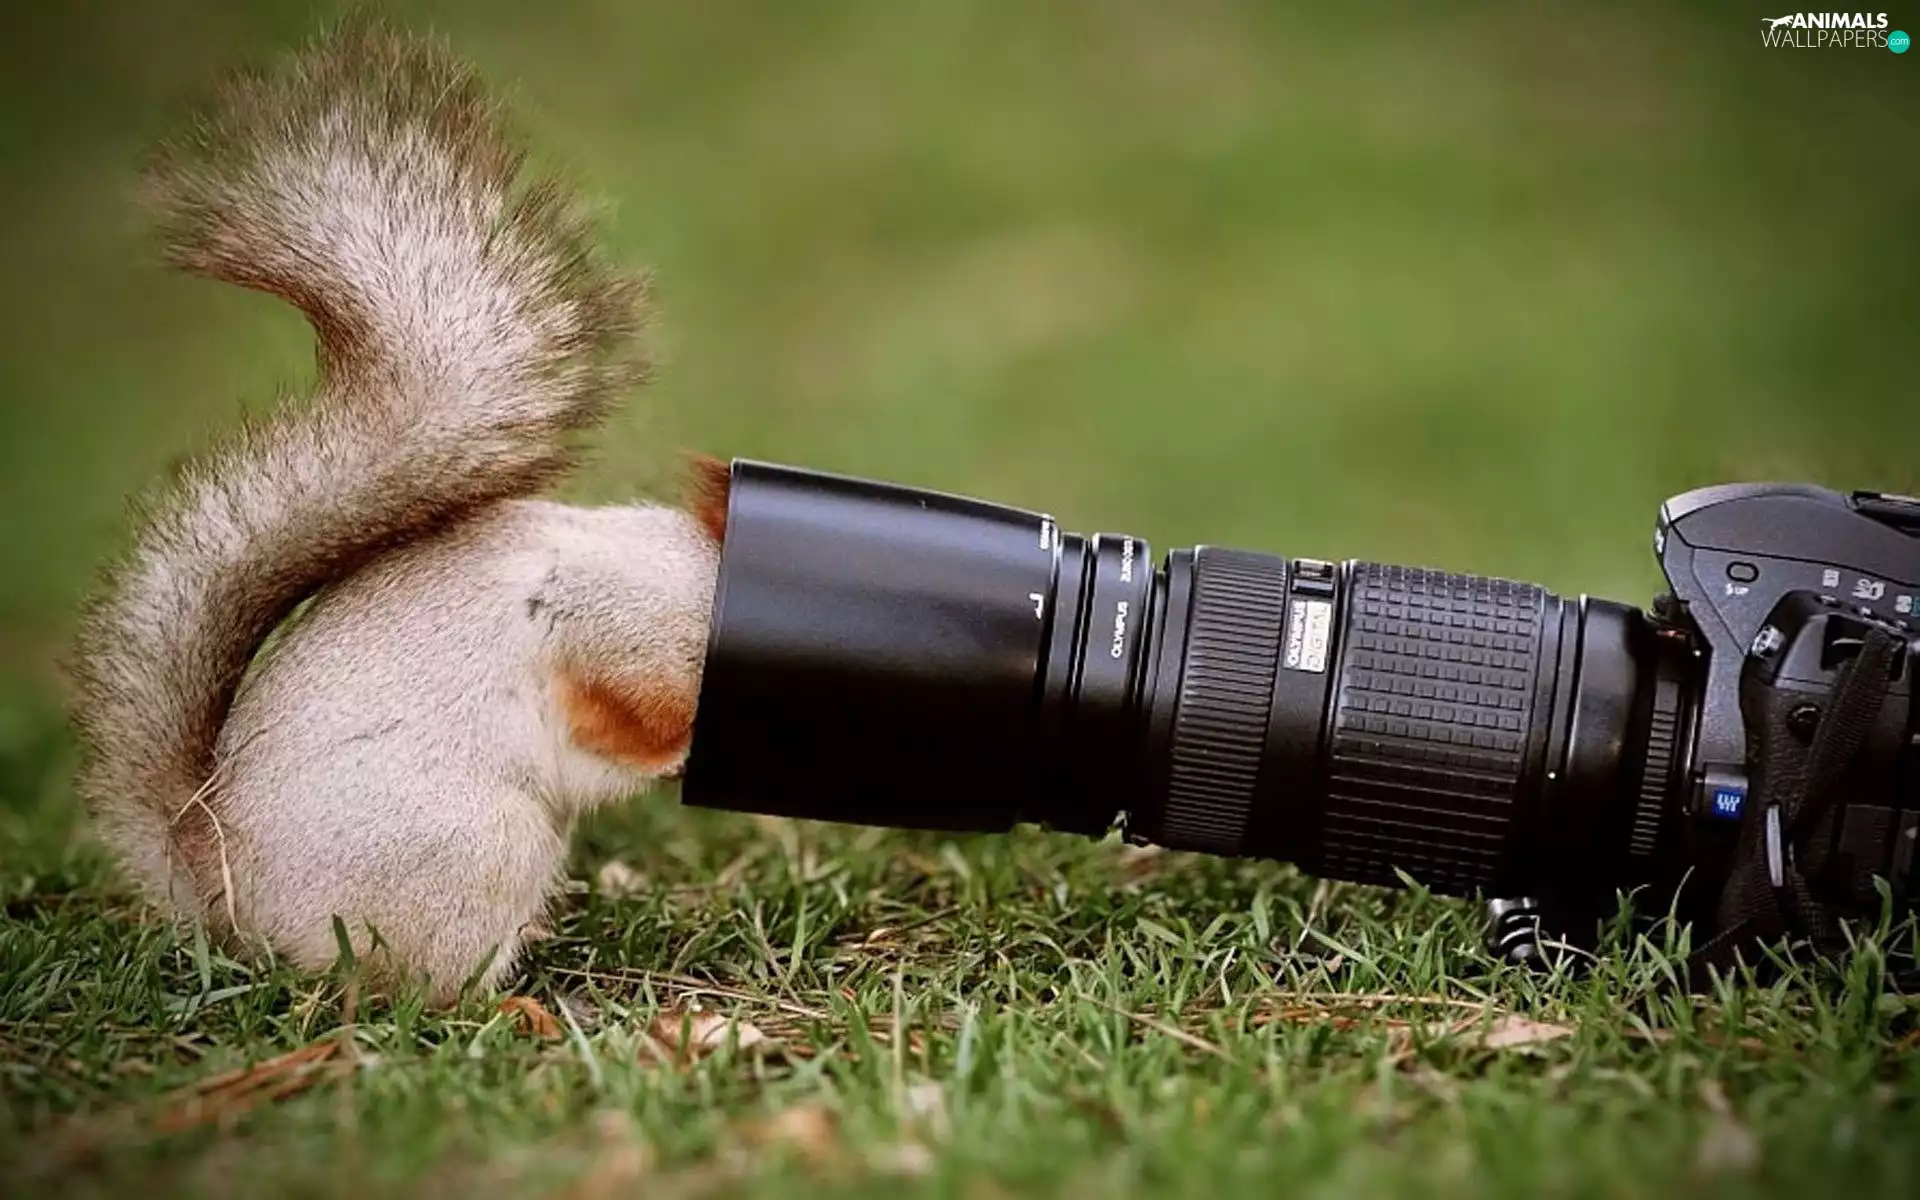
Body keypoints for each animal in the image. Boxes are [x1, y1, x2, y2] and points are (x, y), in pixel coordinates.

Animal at [69, 20, 730, 1003]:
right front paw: (678, 751)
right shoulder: (613, 626)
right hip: (473, 852)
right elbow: (616, 714)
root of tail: (237, 902)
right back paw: (507, 1007)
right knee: (415, 989)